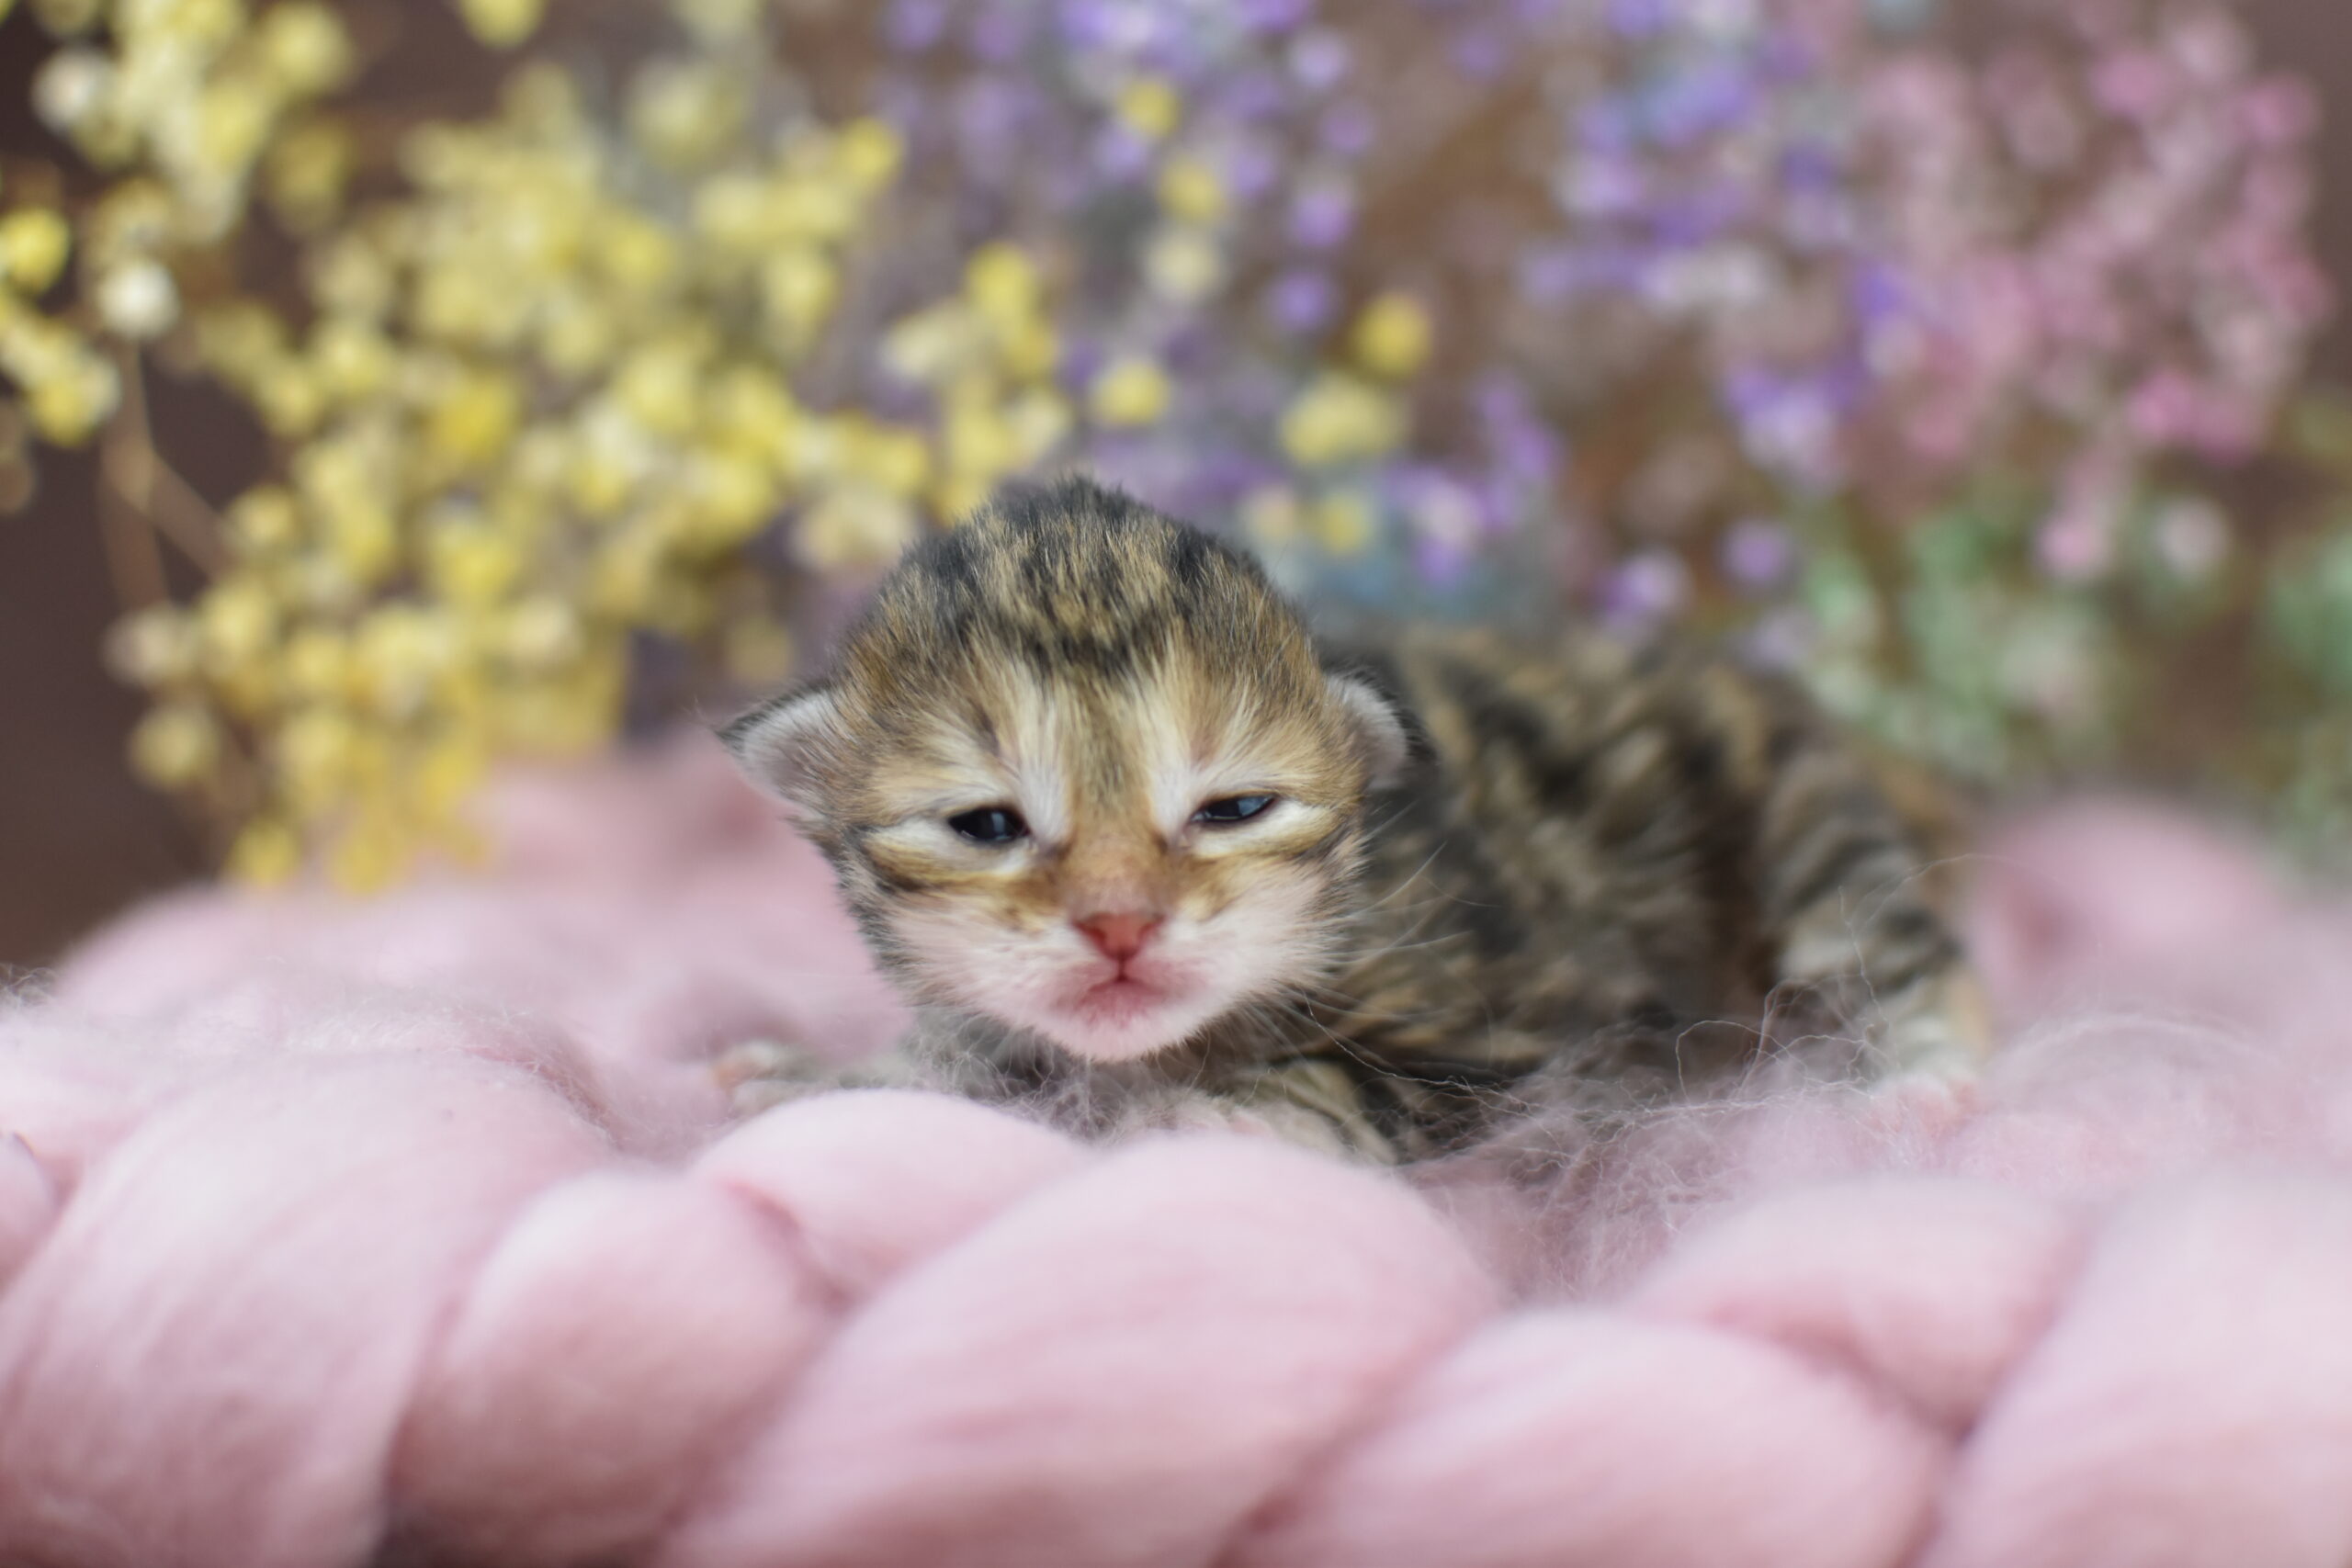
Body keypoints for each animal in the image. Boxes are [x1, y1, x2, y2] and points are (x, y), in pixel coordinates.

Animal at [721, 476, 1985, 1164]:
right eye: (986, 826)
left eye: (1234, 809)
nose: (1120, 925)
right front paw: (856, 1075)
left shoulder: (1508, 1013)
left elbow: (1347, 1076)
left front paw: (1223, 1113)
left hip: (1798, 823)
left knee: (1888, 947)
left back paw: (1924, 1083)